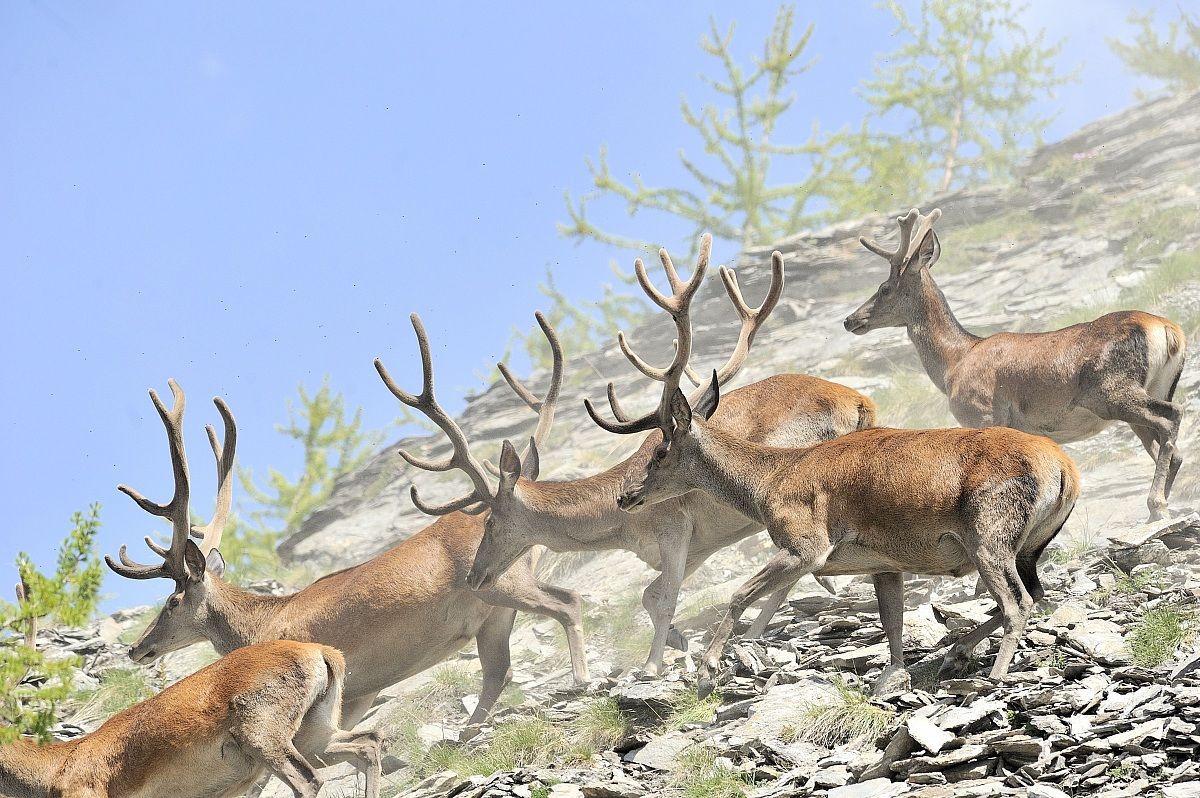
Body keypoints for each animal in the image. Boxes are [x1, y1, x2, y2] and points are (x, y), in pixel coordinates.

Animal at [0, 639, 382, 798]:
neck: (55, 770)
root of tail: (322, 652)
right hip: (315, 732)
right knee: (368, 743)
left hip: (263, 733)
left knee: (308, 781)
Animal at [104, 318, 588, 747]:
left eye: (171, 601)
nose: (136, 648)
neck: (259, 625)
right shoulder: (362, 688)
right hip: (493, 615)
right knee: (499, 669)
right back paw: (465, 735)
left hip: (501, 582)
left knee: (566, 602)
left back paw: (580, 681)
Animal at [400, 234, 877, 675]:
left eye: (490, 522)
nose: (474, 576)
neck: (620, 527)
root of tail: (857, 403)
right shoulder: (699, 544)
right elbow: (652, 595)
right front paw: (679, 643)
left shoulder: (673, 527)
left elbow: (664, 598)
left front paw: (652, 664)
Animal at [605, 234, 1081, 697]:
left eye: (659, 451)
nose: (625, 495)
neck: (767, 484)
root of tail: (1065, 471)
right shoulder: (885, 560)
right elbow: (892, 620)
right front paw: (893, 677)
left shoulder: (808, 543)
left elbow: (739, 595)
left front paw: (707, 671)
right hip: (1031, 543)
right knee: (1036, 591)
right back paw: (957, 651)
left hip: (989, 531)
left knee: (1018, 602)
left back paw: (995, 674)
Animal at [845, 207, 1186, 520]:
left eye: (885, 288)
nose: (850, 320)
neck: (955, 363)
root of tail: (1168, 330)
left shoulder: (982, 413)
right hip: (1151, 389)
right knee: (1173, 448)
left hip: (1111, 389)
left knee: (1171, 417)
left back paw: (1156, 504)